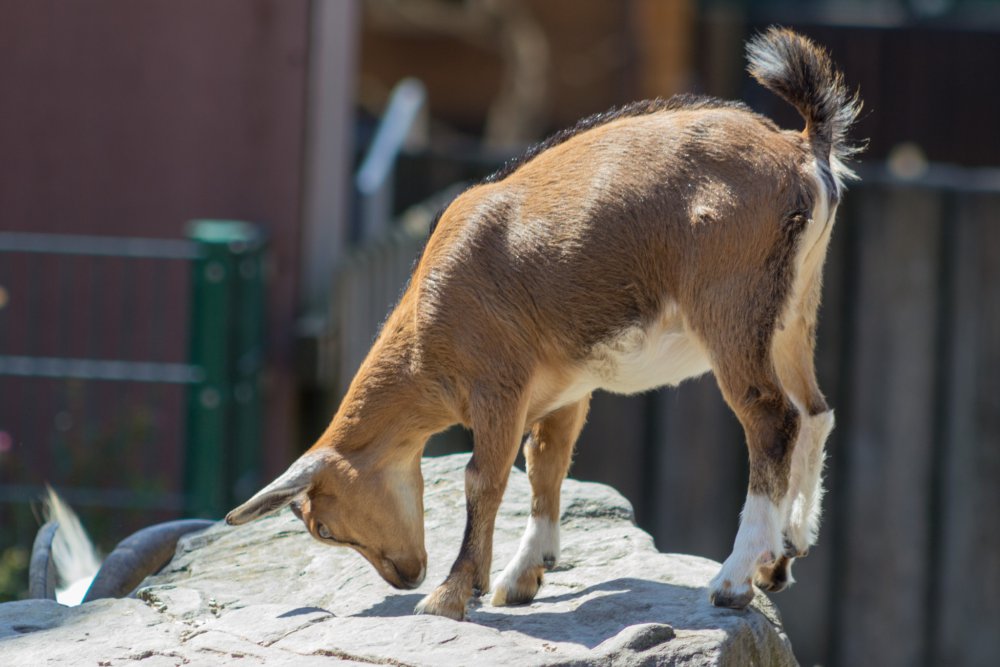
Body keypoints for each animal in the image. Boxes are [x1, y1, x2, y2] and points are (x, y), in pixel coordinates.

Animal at [227, 27, 860, 620]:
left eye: (323, 526)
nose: (404, 575)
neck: (427, 324)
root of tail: (803, 148)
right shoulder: (566, 387)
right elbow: (545, 464)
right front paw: (522, 577)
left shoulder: (498, 386)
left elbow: (484, 478)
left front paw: (451, 595)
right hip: (792, 312)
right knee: (814, 412)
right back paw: (781, 558)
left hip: (730, 308)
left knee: (771, 419)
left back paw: (732, 580)